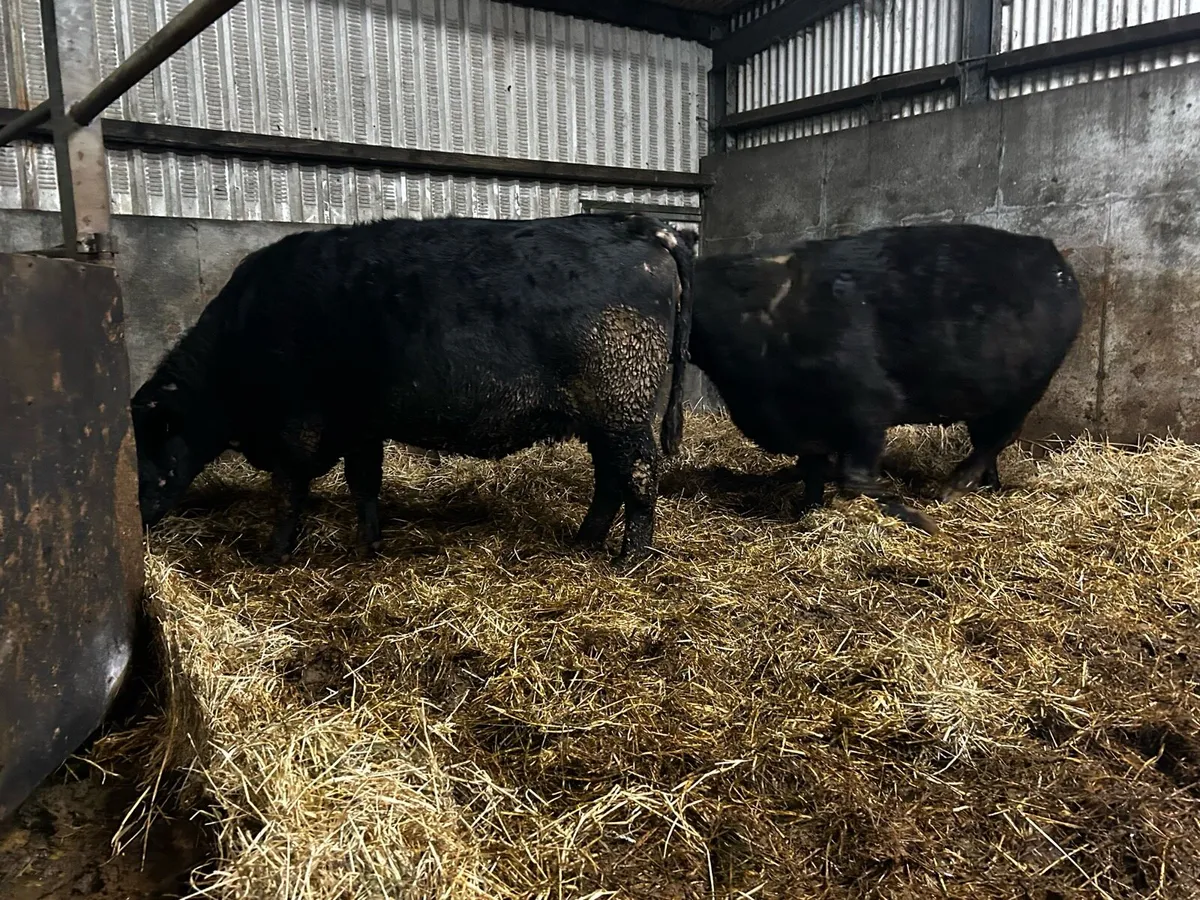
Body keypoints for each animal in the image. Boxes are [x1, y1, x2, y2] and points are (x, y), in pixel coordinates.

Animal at [130, 212, 695, 564]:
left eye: (148, 446)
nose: (136, 519)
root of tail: (639, 226)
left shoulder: (297, 428)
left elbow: (290, 492)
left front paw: (274, 552)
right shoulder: (360, 423)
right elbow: (364, 482)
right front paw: (368, 544)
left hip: (621, 405)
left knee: (638, 476)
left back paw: (630, 558)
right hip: (602, 415)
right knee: (610, 479)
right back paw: (584, 541)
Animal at [688, 222, 1083, 532]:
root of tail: (1053, 256)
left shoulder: (868, 405)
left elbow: (854, 475)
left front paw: (912, 515)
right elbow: (812, 471)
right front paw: (807, 512)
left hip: (1025, 389)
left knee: (997, 439)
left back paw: (953, 489)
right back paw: (989, 488)